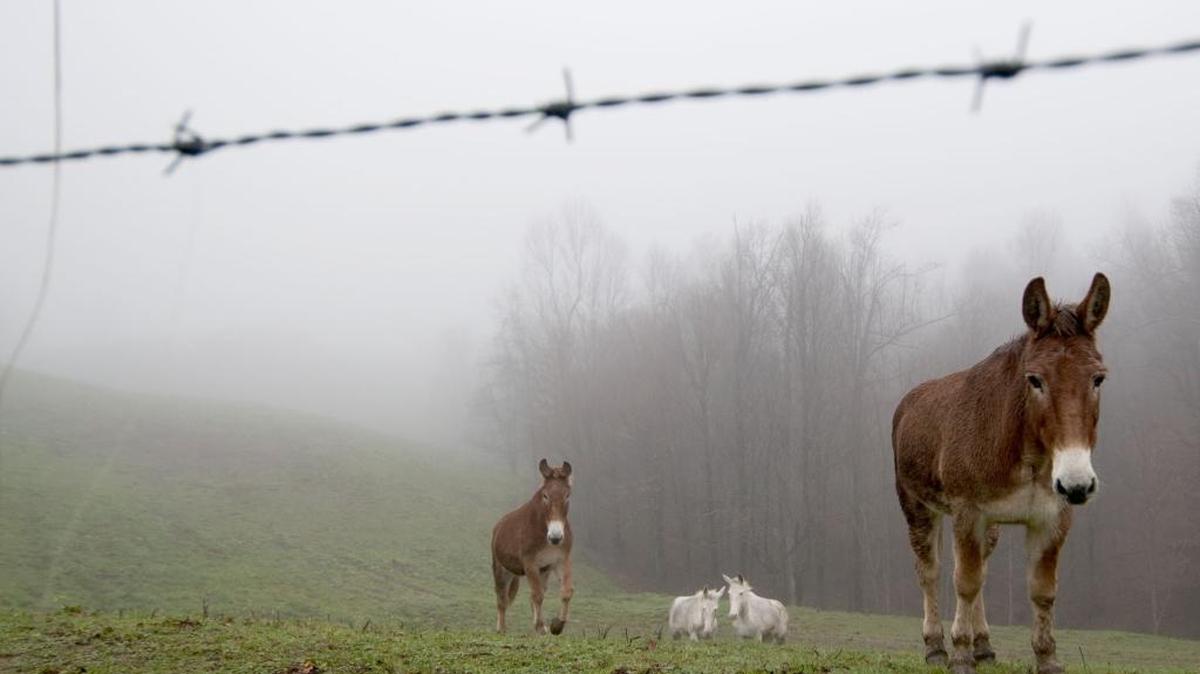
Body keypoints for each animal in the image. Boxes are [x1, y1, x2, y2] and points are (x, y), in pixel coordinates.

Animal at [490, 458, 574, 635]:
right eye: (545, 496)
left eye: (567, 495)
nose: (556, 537)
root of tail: (498, 525)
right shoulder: (530, 564)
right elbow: (537, 596)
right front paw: (541, 625)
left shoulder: (560, 560)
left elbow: (566, 592)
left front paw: (556, 626)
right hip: (501, 570)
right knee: (502, 599)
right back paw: (501, 629)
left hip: (544, 571)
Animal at [892, 273, 1110, 674]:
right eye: (1035, 379)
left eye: (1098, 378)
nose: (1076, 484)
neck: (1028, 457)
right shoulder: (967, 512)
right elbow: (964, 581)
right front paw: (959, 655)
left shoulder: (1051, 519)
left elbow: (1042, 591)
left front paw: (1047, 657)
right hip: (917, 506)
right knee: (929, 571)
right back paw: (936, 647)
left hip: (989, 525)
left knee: (980, 570)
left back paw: (984, 645)